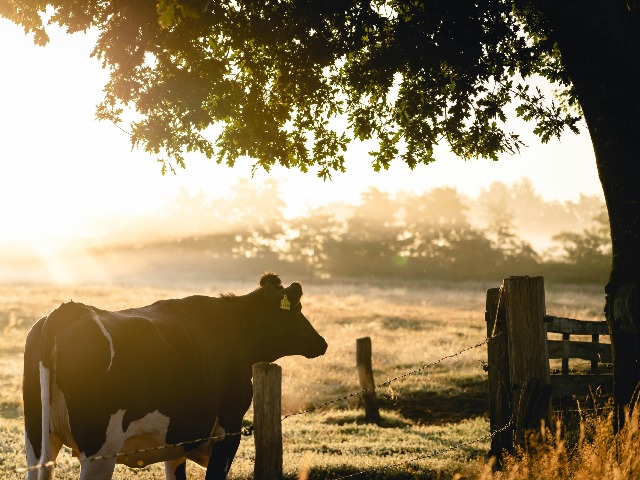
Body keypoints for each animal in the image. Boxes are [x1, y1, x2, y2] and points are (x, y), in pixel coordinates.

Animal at [23, 272, 328, 478]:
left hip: (37, 442)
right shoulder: (227, 432)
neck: (234, 329)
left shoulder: (178, 439)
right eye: (297, 309)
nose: (322, 343)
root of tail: (67, 311)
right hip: (99, 450)